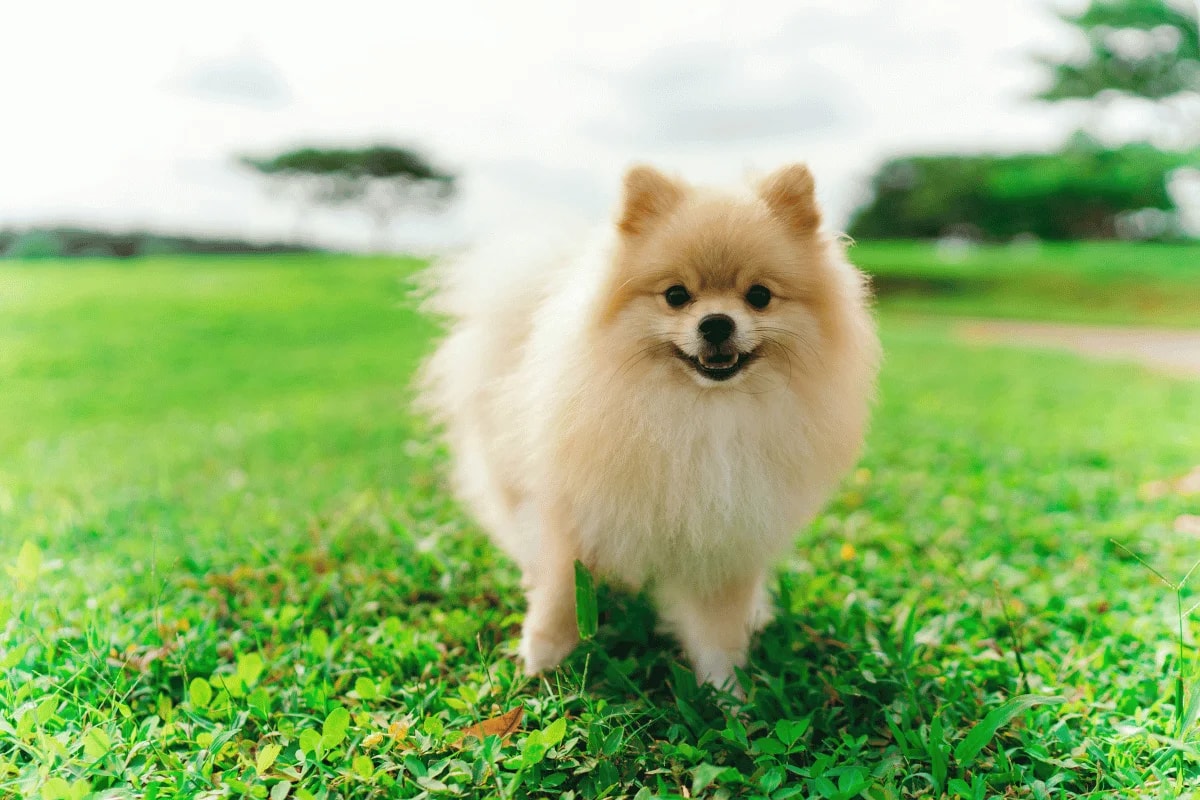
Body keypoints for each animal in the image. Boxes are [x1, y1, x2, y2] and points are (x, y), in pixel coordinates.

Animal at [417, 164, 878, 695]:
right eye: (676, 296)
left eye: (759, 296)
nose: (716, 323)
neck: (699, 413)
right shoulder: (571, 519)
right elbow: (559, 597)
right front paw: (541, 663)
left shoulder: (726, 538)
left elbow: (718, 631)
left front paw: (728, 694)